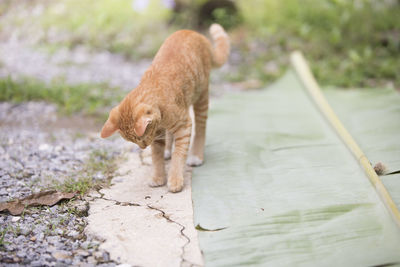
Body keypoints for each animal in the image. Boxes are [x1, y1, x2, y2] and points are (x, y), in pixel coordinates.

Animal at [100, 23, 230, 193]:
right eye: (133, 141)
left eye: (139, 139)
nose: (143, 147)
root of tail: (194, 33)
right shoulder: (157, 135)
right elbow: (157, 157)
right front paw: (158, 177)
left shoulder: (184, 126)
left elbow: (179, 155)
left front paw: (174, 179)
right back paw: (168, 150)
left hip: (201, 97)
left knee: (201, 128)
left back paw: (196, 156)